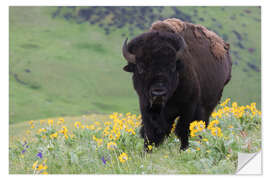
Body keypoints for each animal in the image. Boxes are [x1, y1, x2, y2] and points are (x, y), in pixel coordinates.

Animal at [121, 17, 231, 150]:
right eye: (141, 67)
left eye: (172, 66)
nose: (158, 93)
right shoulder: (146, 106)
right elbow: (151, 131)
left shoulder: (189, 107)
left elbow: (184, 130)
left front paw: (184, 149)